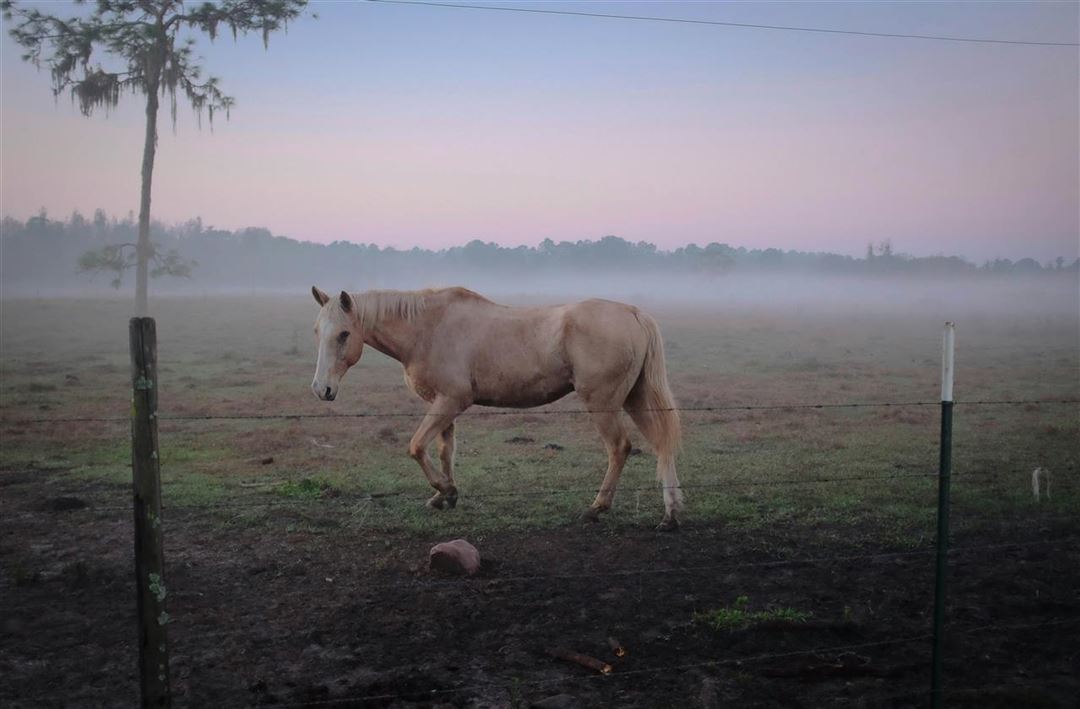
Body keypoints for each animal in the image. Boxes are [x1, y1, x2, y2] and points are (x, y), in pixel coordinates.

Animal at [311, 285, 682, 529]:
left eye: (344, 334)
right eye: (317, 332)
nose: (321, 389)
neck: (428, 329)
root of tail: (634, 313)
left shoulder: (451, 401)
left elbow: (416, 447)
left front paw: (446, 490)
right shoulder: (443, 405)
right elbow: (444, 451)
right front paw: (445, 496)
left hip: (603, 404)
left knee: (620, 448)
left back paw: (597, 507)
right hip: (635, 399)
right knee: (662, 444)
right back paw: (671, 512)